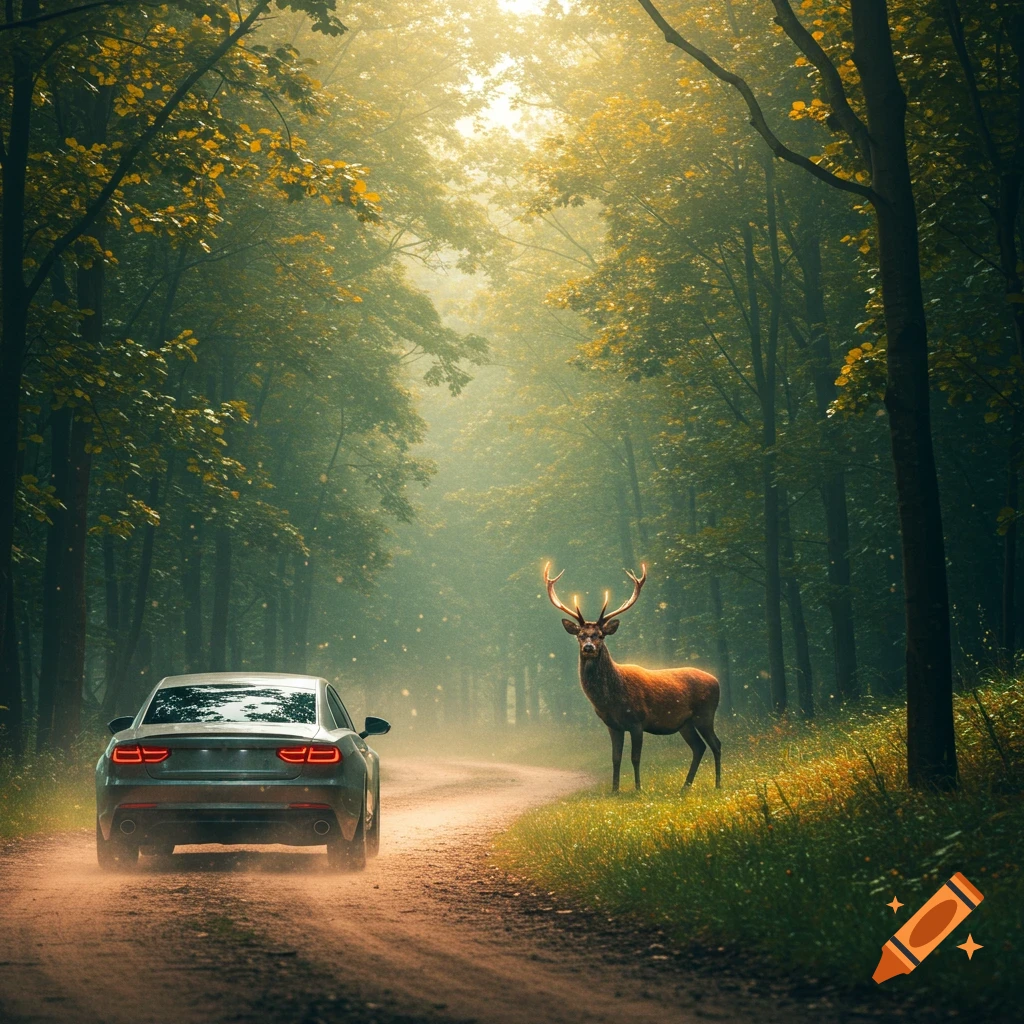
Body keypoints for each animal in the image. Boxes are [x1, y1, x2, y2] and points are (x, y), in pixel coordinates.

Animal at [544, 562, 721, 793]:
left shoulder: (638, 721)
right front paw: (614, 790)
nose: (589, 647)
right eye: (580, 636)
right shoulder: (612, 725)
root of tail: (716, 681)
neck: (610, 700)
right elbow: (616, 758)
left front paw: (638, 789)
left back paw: (717, 784)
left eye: (601, 635)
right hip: (686, 723)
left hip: (705, 714)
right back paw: (685, 787)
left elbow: (635, 758)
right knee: (699, 747)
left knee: (716, 744)